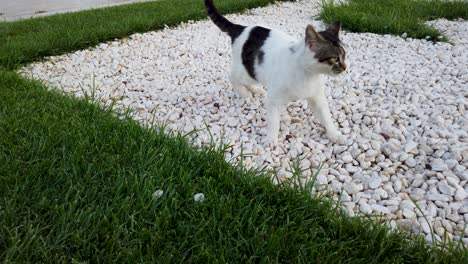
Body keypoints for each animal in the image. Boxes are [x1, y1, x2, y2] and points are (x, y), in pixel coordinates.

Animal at [205, 0, 348, 144]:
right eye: (335, 58)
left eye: (344, 55)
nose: (345, 67)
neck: (308, 74)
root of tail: (241, 28)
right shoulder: (273, 99)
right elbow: (274, 121)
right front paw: (271, 139)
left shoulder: (317, 97)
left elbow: (326, 117)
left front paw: (334, 134)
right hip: (247, 71)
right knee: (232, 77)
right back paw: (245, 93)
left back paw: (255, 89)